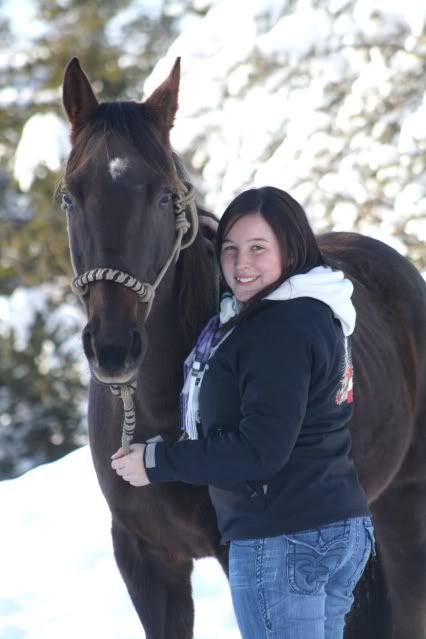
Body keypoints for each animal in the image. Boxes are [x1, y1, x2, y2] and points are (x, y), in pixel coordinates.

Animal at [60, 57, 426, 636]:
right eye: (70, 196)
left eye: (163, 195)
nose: (114, 349)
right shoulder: (146, 560)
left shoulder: (241, 553)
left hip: (404, 504)